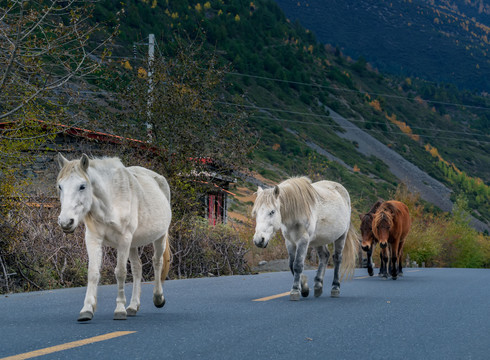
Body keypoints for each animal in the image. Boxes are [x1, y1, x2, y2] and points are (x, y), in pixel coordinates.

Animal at [56, 153, 172, 322]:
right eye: (60, 186)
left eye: (82, 186)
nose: (66, 222)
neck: (110, 203)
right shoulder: (93, 239)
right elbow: (93, 273)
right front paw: (87, 309)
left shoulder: (123, 240)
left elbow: (121, 272)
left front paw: (119, 309)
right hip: (133, 244)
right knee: (137, 268)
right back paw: (133, 306)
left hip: (159, 237)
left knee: (157, 262)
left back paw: (158, 298)